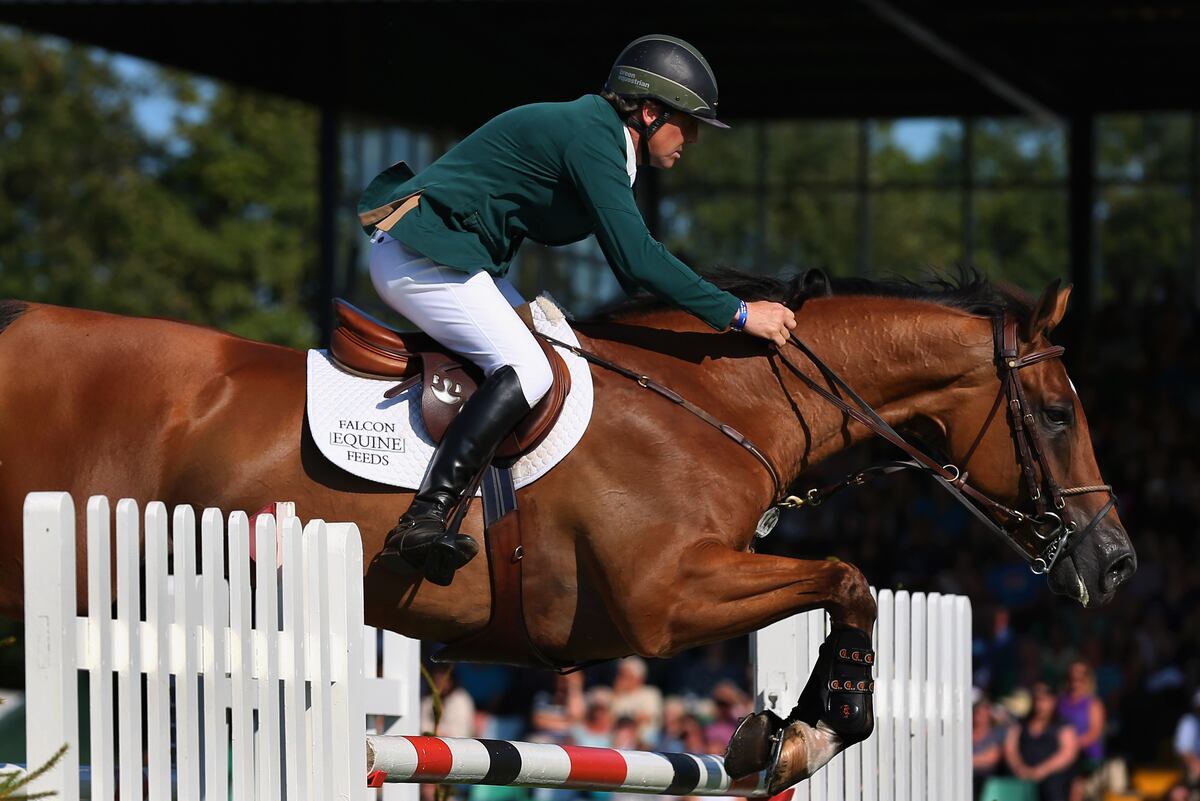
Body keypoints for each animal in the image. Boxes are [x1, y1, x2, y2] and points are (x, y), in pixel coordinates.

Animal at [0, 270, 1136, 790]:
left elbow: (839, 581)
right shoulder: (662, 600)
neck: (720, 403)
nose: (1117, 564)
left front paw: (782, 729)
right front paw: (817, 724)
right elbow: (848, 577)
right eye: (1057, 415)